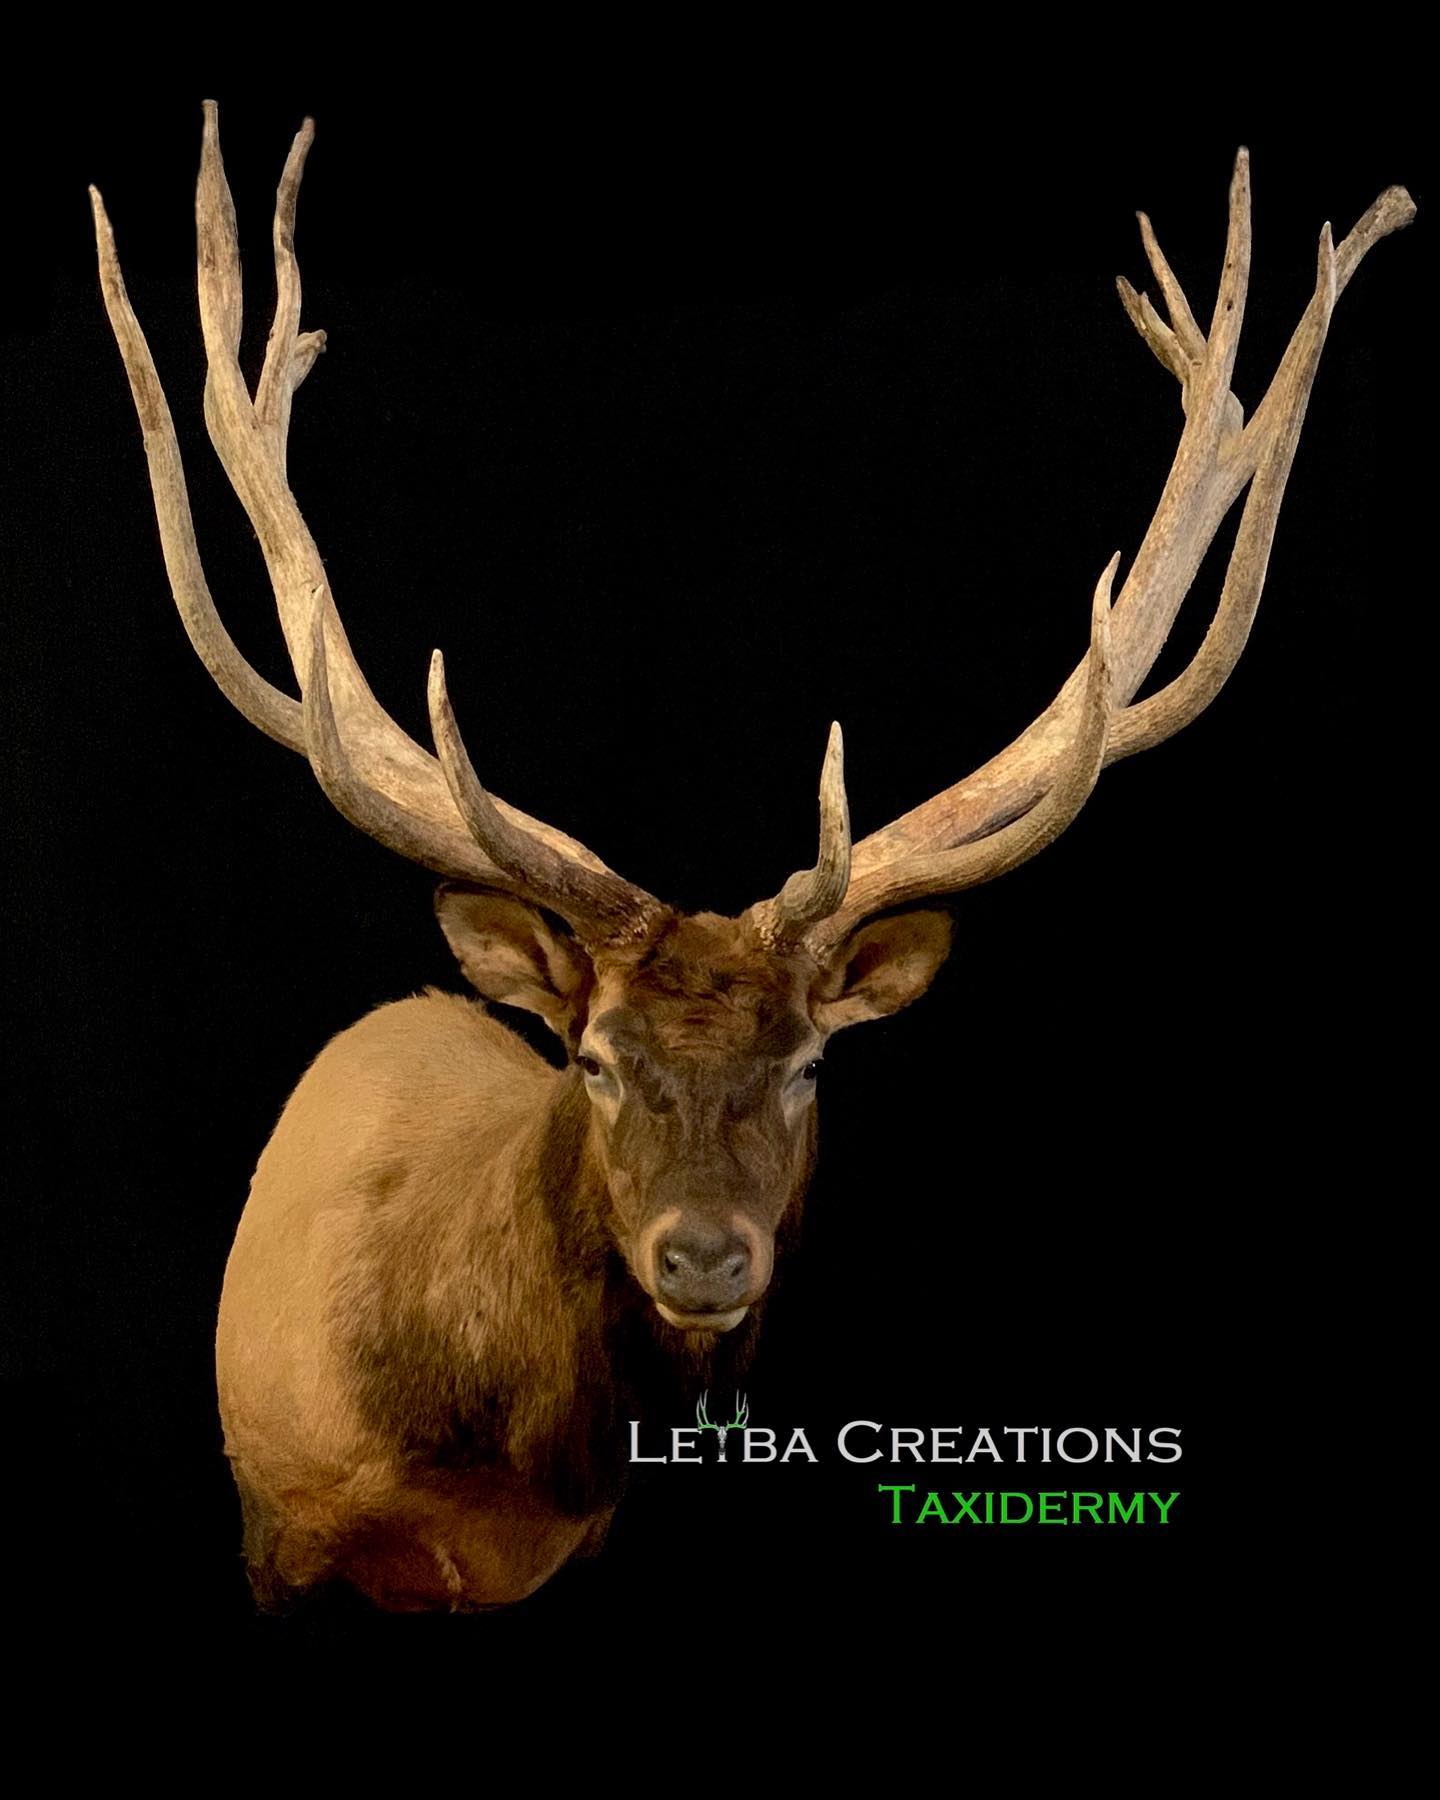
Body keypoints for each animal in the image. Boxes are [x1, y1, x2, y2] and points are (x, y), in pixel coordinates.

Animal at [90, 103, 1412, 1613]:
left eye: (809, 1065)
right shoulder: (275, 1529)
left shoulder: (585, 1548)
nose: (709, 1254)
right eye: (595, 1059)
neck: (457, 1461)